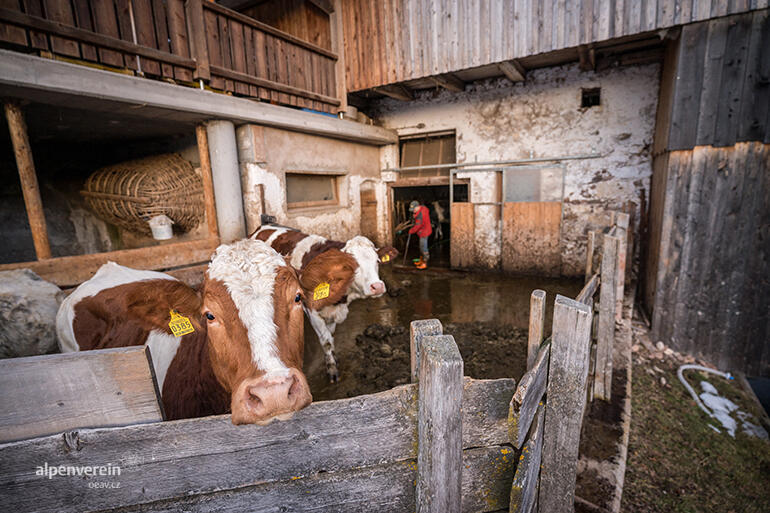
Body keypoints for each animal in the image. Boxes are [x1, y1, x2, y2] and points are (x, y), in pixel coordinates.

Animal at [250, 226, 400, 382]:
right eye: (352, 266)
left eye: (377, 261)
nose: (378, 286)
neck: (340, 299)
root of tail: (263, 227)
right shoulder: (312, 311)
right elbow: (326, 340)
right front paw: (332, 370)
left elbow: (331, 335)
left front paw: (333, 358)